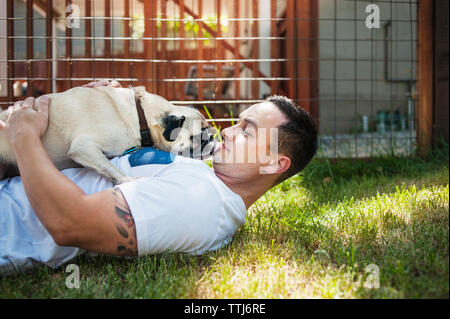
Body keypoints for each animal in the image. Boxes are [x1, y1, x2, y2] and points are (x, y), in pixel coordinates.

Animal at [0, 85, 216, 185]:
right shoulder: (84, 148)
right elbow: (110, 167)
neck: (140, 115)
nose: (213, 141)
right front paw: (127, 181)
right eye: (198, 137)